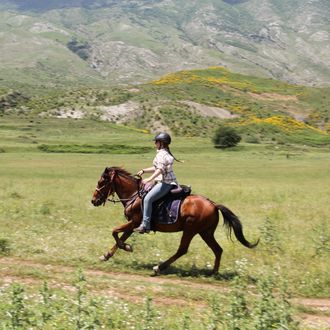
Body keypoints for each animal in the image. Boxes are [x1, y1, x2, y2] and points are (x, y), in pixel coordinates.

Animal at [91, 166, 258, 274]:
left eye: (101, 182)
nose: (93, 200)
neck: (134, 195)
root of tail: (213, 204)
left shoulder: (134, 223)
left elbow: (114, 232)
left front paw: (127, 247)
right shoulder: (132, 225)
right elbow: (119, 238)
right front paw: (107, 255)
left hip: (190, 230)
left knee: (182, 249)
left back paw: (159, 268)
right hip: (206, 232)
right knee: (218, 249)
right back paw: (214, 273)